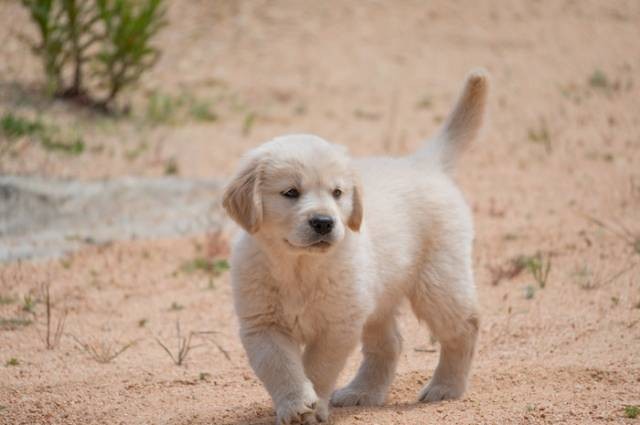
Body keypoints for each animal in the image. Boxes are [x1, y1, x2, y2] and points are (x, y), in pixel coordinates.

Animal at [222, 71, 488, 422]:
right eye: (290, 192)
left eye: (337, 193)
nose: (324, 222)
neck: (299, 266)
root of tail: (423, 163)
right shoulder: (262, 324)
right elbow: (282, 368)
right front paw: (295, 405)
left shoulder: (337, 325)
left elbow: (317, 368)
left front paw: (314, 408)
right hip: (377, 298)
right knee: (390, 343)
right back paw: (362, 392)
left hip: (439, 282)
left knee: (465, 326)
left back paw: (445, 387)